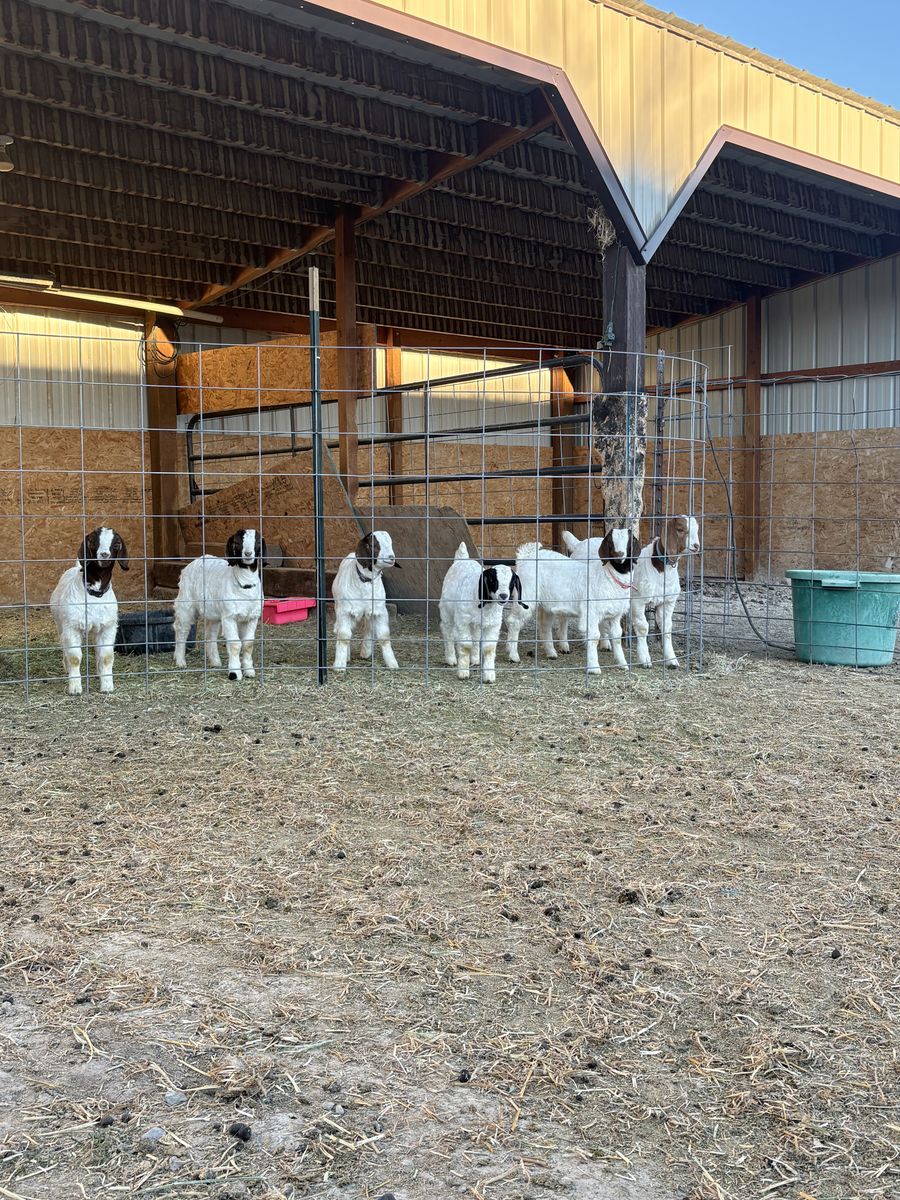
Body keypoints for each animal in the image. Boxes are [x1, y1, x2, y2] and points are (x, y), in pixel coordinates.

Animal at [49, 526, 129, 695]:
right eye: (92, 542)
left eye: (116, 543)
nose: (104, 555)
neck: (94, 594)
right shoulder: (71, 627)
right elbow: (74, 657)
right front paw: (75, 688)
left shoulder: (108, 627)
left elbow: (106, 656)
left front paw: (107, 685)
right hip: (60, 624)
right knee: (63, 644)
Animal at [173, 529, 266, 681]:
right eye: (237, 542)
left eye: (257, 541)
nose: (248, 554)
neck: (244, 584)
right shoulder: (229, 616)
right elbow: (235, 644)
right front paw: (235, 673)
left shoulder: (253, 617)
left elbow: (248, 644)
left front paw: (249, 671)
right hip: (186, 603)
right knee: (181, 629)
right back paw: (180, 661)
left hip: (213, 612)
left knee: (210, 634)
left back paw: (215, 662)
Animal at [332, 531, 400, 672]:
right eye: (374, 544)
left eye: (390, 543)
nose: (391, 557)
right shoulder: (345, 612)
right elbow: (344, 636)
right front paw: (340, 665)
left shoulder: (380, 611)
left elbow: (384, 637)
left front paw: (392, 664)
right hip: (338, 605)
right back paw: (347, 656)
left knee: (368, 628)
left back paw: (366, 652)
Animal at [440, 544, 526, 682]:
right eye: (492, 580)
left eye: (512, 582)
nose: (503, 596)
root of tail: (462, 559)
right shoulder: (463, 621)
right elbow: (465, 646)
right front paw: (463, 673)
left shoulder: (493, 625)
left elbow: (488, 648)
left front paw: (489, 676)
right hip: (447, 611)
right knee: (448, 632)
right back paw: (451, 658)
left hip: (477, 623)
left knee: (475, 637)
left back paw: (475, 659)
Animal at [505, 528, 640, 673]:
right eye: (610, 541)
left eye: (630, 540)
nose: (619, 555)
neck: (606, 576)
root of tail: (525, 557)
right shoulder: (591, 612)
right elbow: (594, 636)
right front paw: (593, 667)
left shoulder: (616, 615)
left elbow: (617, 637)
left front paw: (623, 664)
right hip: (526, 597)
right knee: (514, 621)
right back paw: (513, 655)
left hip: (547, 603)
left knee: (545, 625)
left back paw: (551, 653)